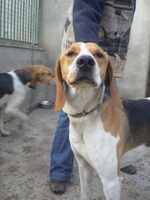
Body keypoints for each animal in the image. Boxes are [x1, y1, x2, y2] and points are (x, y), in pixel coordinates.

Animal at [55, 42, 150, 200]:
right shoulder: (84, 167)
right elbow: (85, 194)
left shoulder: (112, 181)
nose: (86, 62)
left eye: (99, 54)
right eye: (70, 53)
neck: (85, 116)